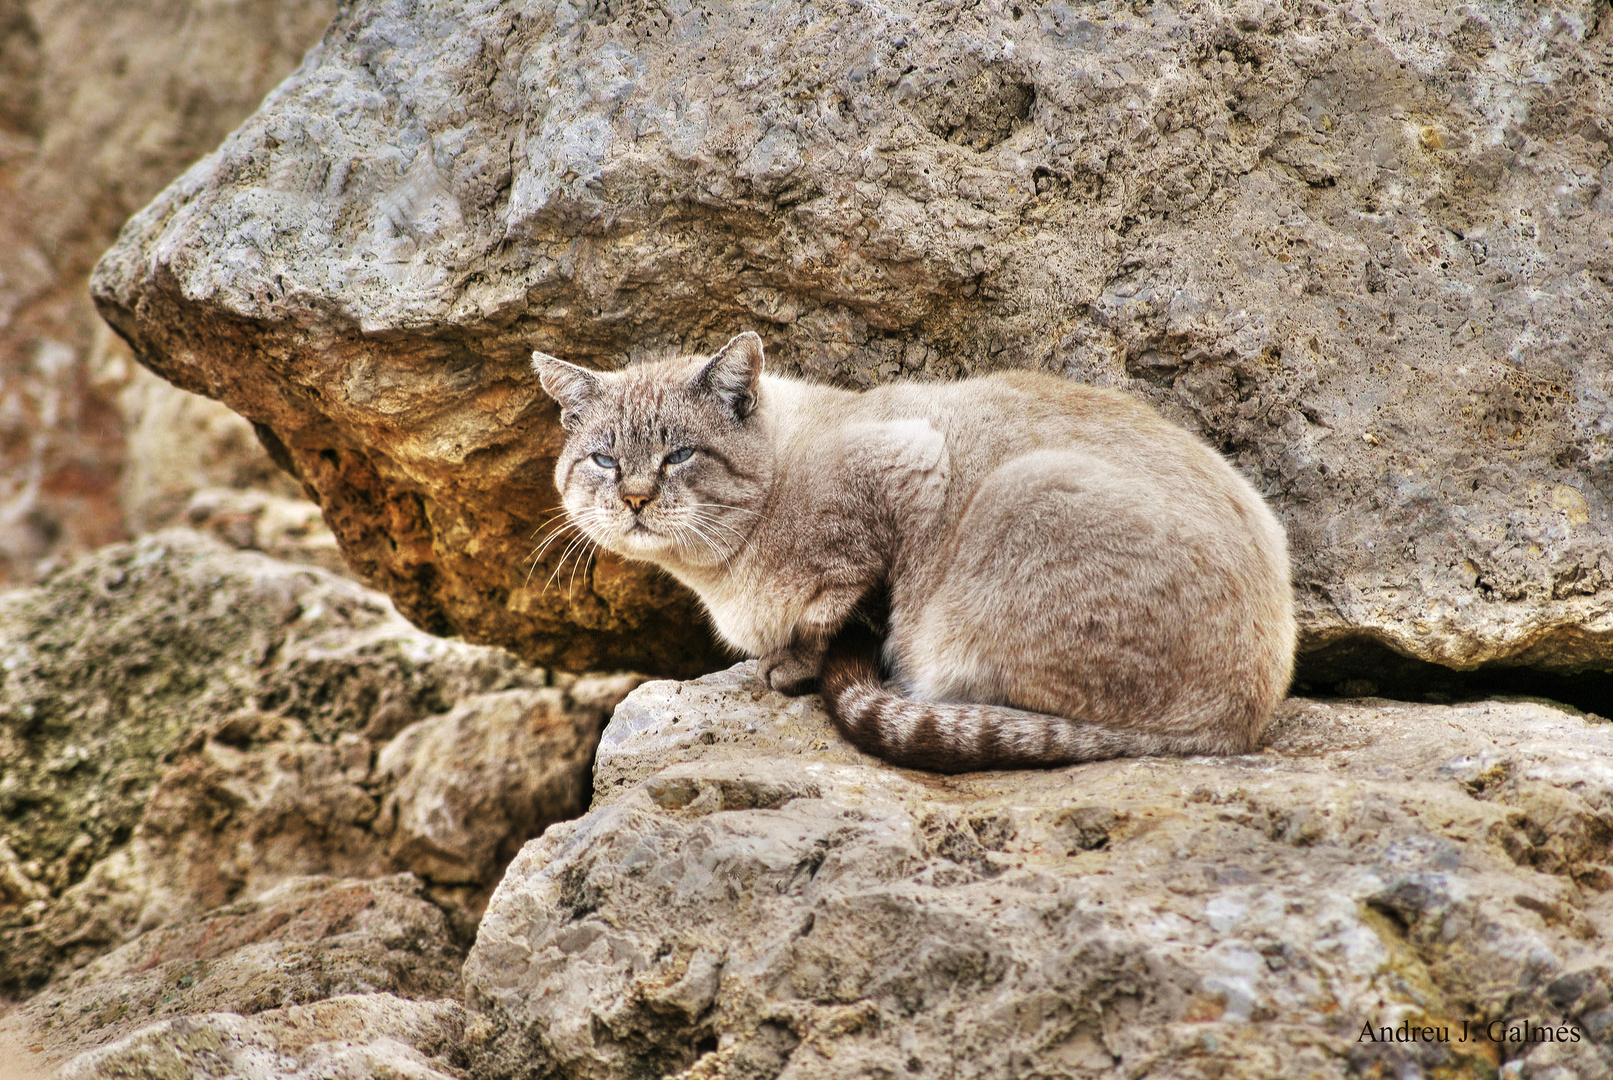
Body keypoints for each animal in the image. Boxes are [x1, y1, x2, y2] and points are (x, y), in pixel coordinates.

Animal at [535, 333, 1290, 773]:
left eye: (679, 455)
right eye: (604, 460)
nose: (635, 498)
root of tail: (1237, 727)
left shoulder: (908, 474)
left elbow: (833, 613)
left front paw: (791, 666)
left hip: (1021, 495)